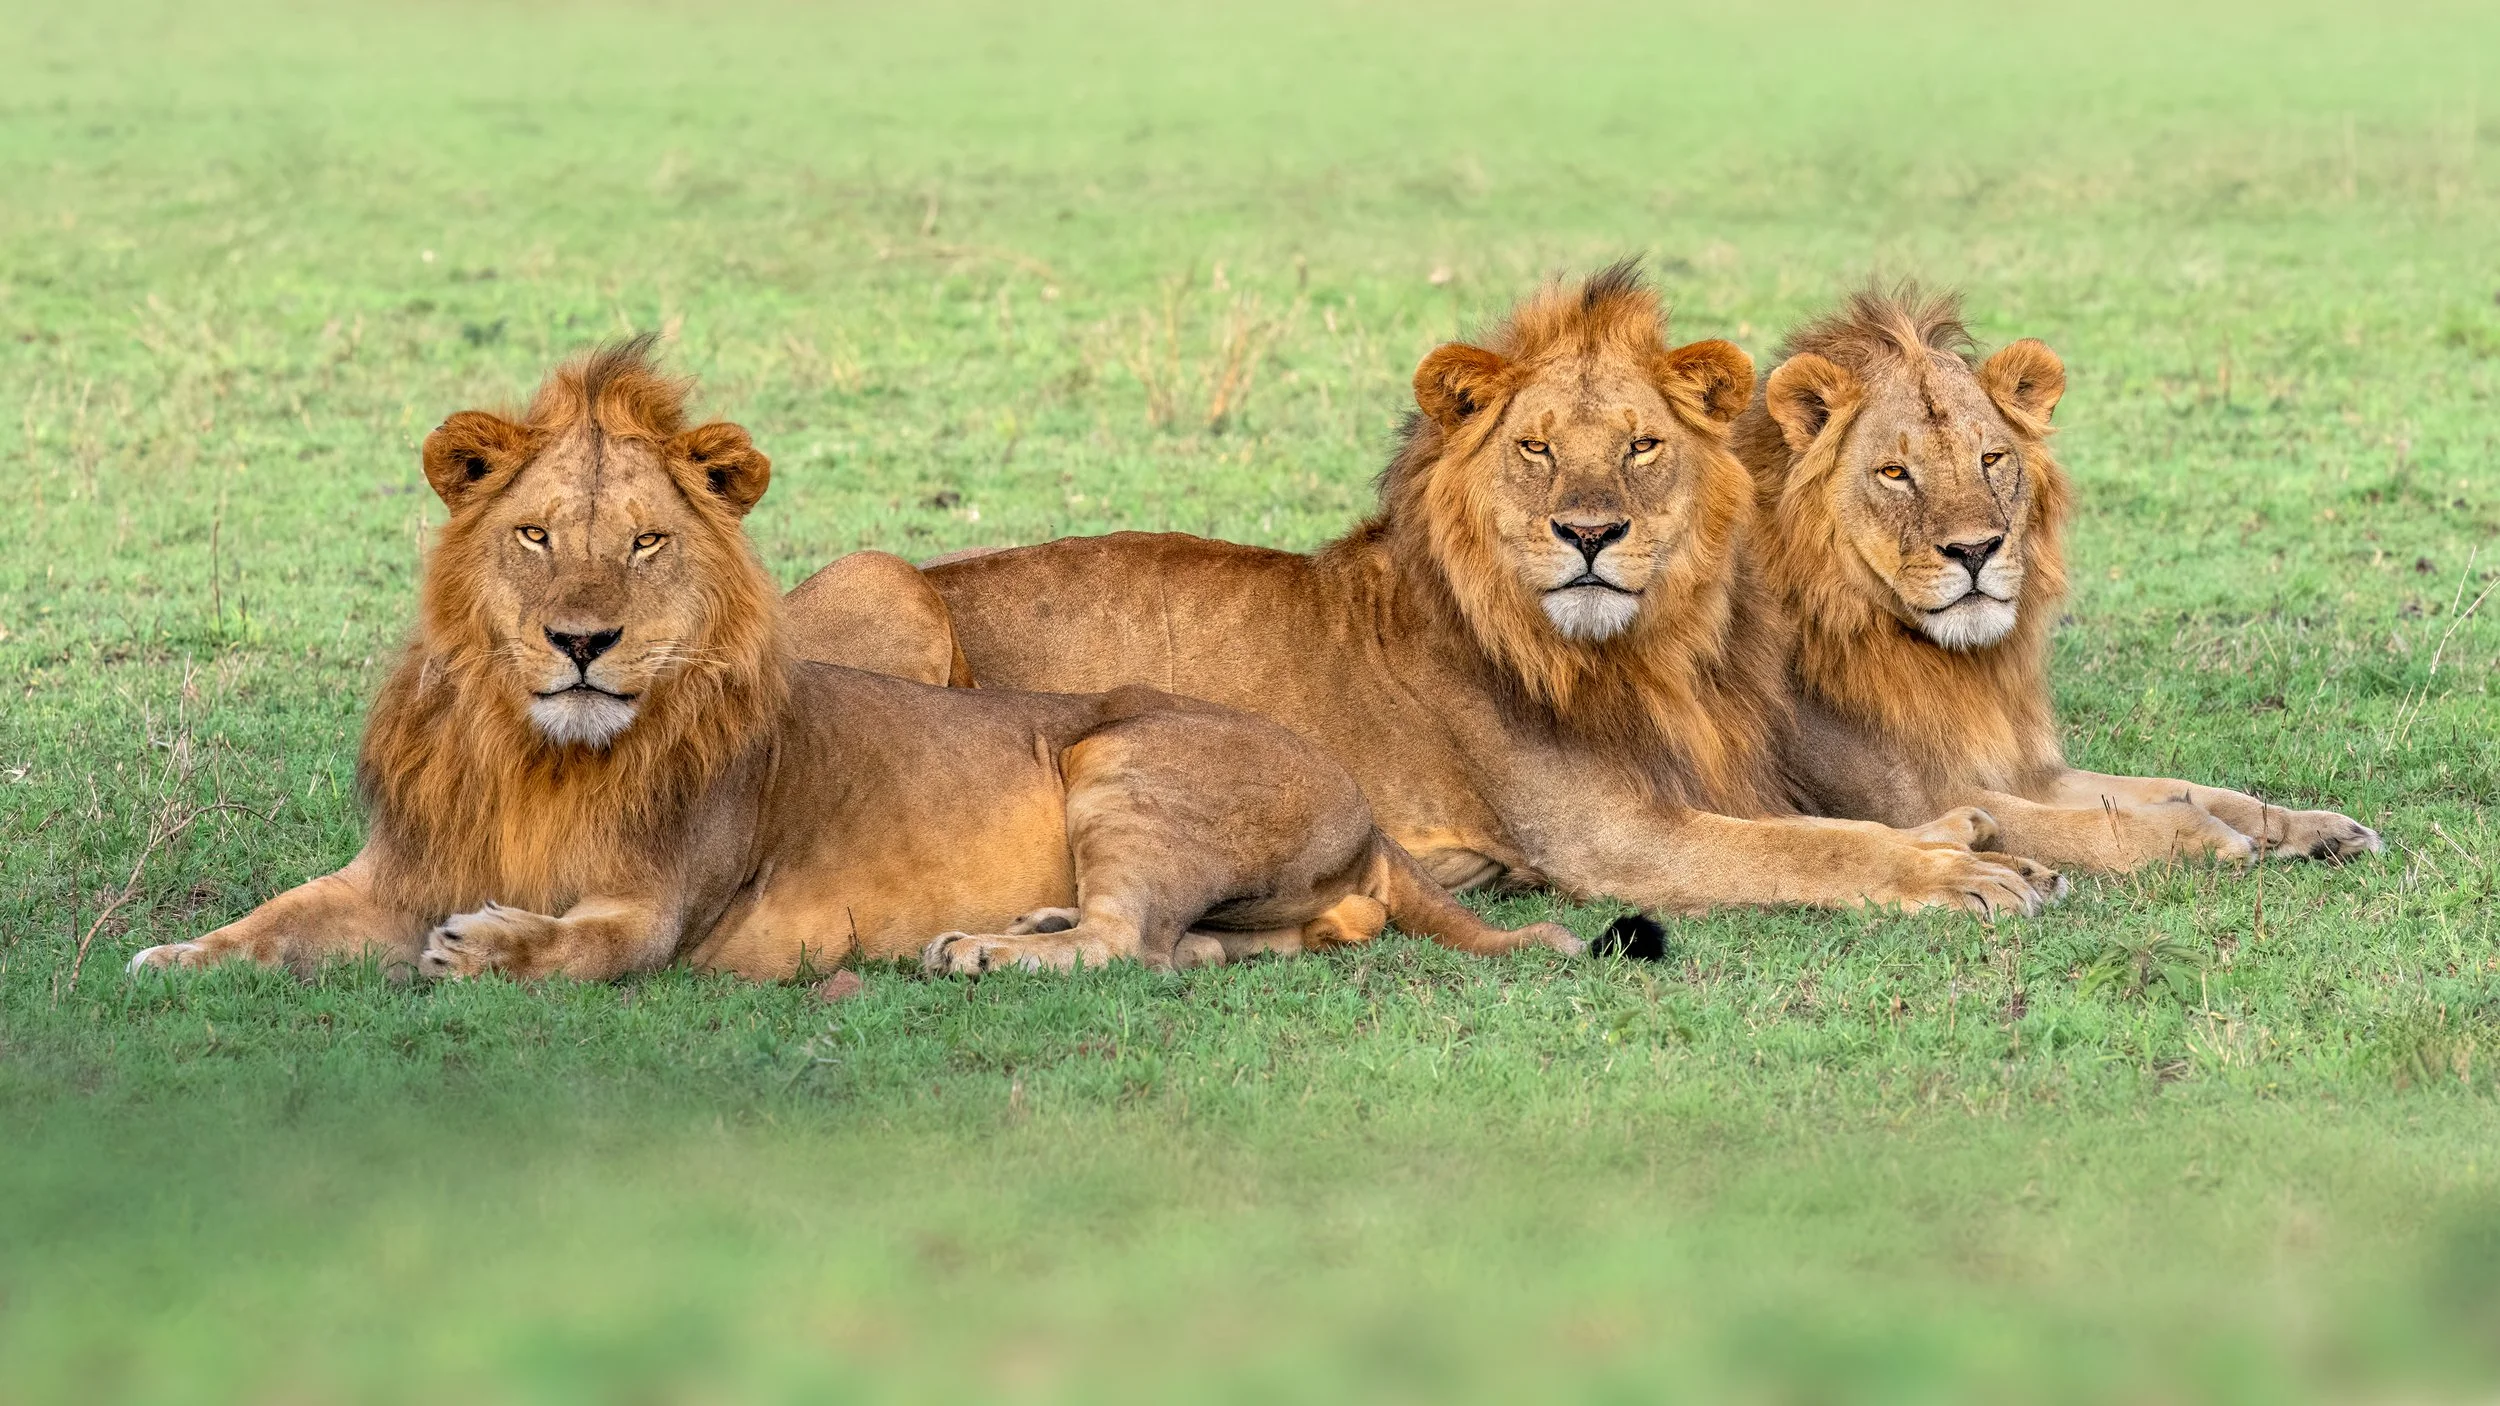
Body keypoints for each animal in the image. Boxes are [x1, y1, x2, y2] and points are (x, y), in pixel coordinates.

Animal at [128, 340, 1579, 982]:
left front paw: (486, 946)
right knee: (1189, 948)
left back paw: (991, 950)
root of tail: (1362, 801)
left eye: (647, 542)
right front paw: (178, 955)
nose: (582, 642)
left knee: (1126, 941)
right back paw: (1026, 926)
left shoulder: (658, 911)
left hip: (1124, 758)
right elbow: (277, 919)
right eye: (535, 536)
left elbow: (576, 945)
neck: (535, 751)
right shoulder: (391, 870)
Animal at [824, 263, 2063, 918]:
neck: (1638, 649)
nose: (1590, 532)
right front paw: (1955, 868)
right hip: (882, 580)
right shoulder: (1617, 844)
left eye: (1643, 445)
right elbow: (1814, 849)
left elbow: (1821, 818)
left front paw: (1968, 827)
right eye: (1535, 448)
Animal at [1730, 286, 2381, 871]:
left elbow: (2189, 788)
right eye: (1894, 472)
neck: (1953, 661)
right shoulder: (1897, 802)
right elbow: (2084, 825)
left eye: (1990, 459)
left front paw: (2313, 827)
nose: (1975, 551)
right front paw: (2203, 835)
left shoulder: (2029, 770)